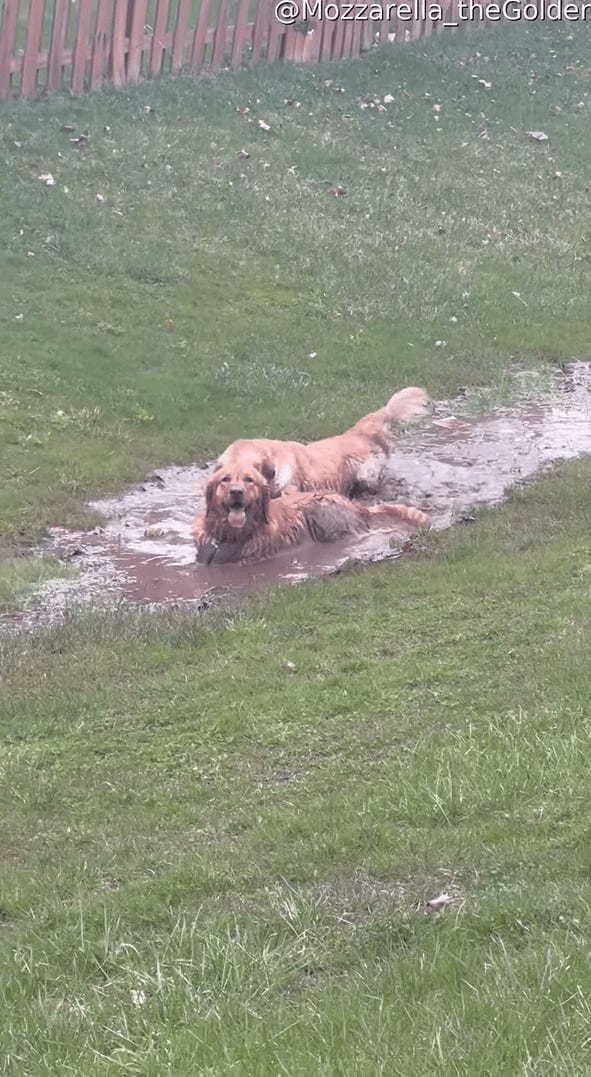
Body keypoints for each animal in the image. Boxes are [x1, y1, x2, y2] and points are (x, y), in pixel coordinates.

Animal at [193, 480, 428, 564]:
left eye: (249, 481)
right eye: (225, 481)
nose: (236, 492)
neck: (228, 537)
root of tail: (358, 507)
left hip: (319, 509)